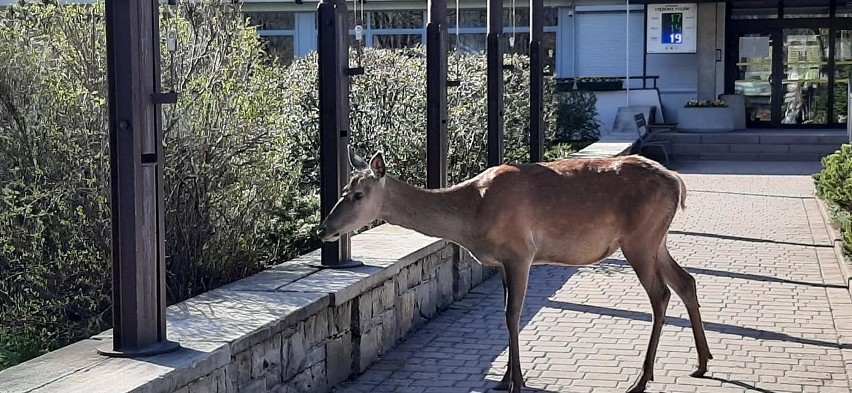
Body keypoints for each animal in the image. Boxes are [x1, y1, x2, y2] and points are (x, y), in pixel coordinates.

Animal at [320, 148, 712, 392]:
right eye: (342, 188)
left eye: (358, 194)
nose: (323, 229)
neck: (472, 218)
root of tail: (677, 182)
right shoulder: (503, 262)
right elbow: (506, 314)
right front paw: (505, 377)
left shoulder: (521, 252)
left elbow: (513, 315)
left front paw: (518, 381)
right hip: (656, 240)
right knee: (686, 281)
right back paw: (702, 363)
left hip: (640, 238)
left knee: (661, 294)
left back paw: (642, 379)